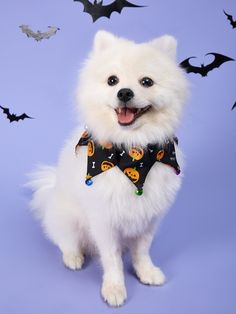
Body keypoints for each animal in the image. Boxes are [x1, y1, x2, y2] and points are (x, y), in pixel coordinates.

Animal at [28, 31, 188, 306]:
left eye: (147, 82)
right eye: (112, 80)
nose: (124, 92)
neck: (132, 154)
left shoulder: (149, 217)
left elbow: (142, 250)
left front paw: (145, 271)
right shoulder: (104, 219)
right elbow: (112, 259)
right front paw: (114, 288)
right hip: (68, 219)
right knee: (64, 240)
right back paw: (73, 257)